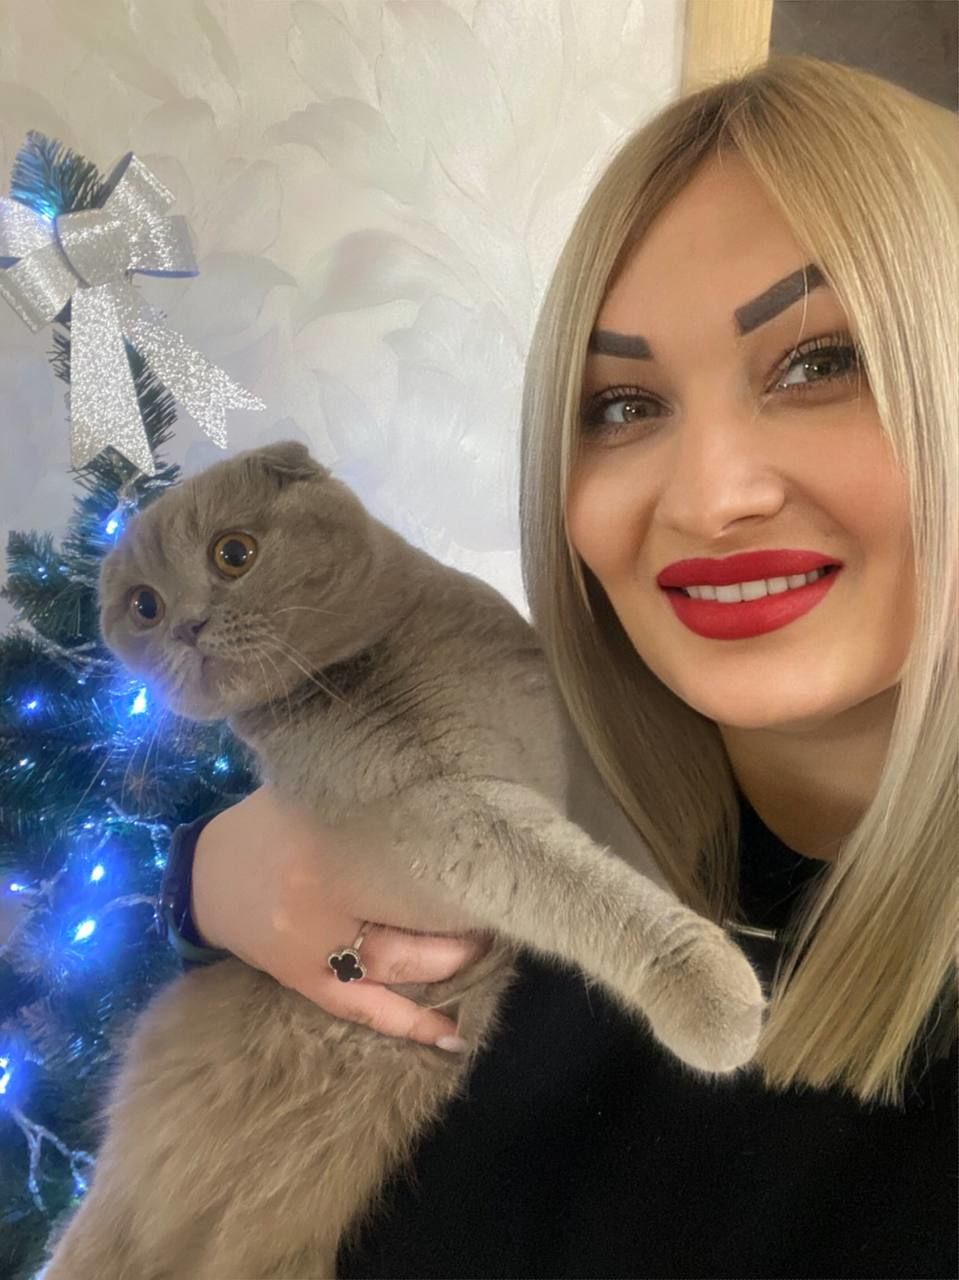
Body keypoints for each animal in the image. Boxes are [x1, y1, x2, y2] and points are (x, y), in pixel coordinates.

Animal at [44, 441, 764, 1280]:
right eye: (144, 607)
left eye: (232, 554)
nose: (186, 624)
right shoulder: (442, 820)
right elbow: (582, 885)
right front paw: (712, 991)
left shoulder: (581, 766)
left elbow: (633, 846)